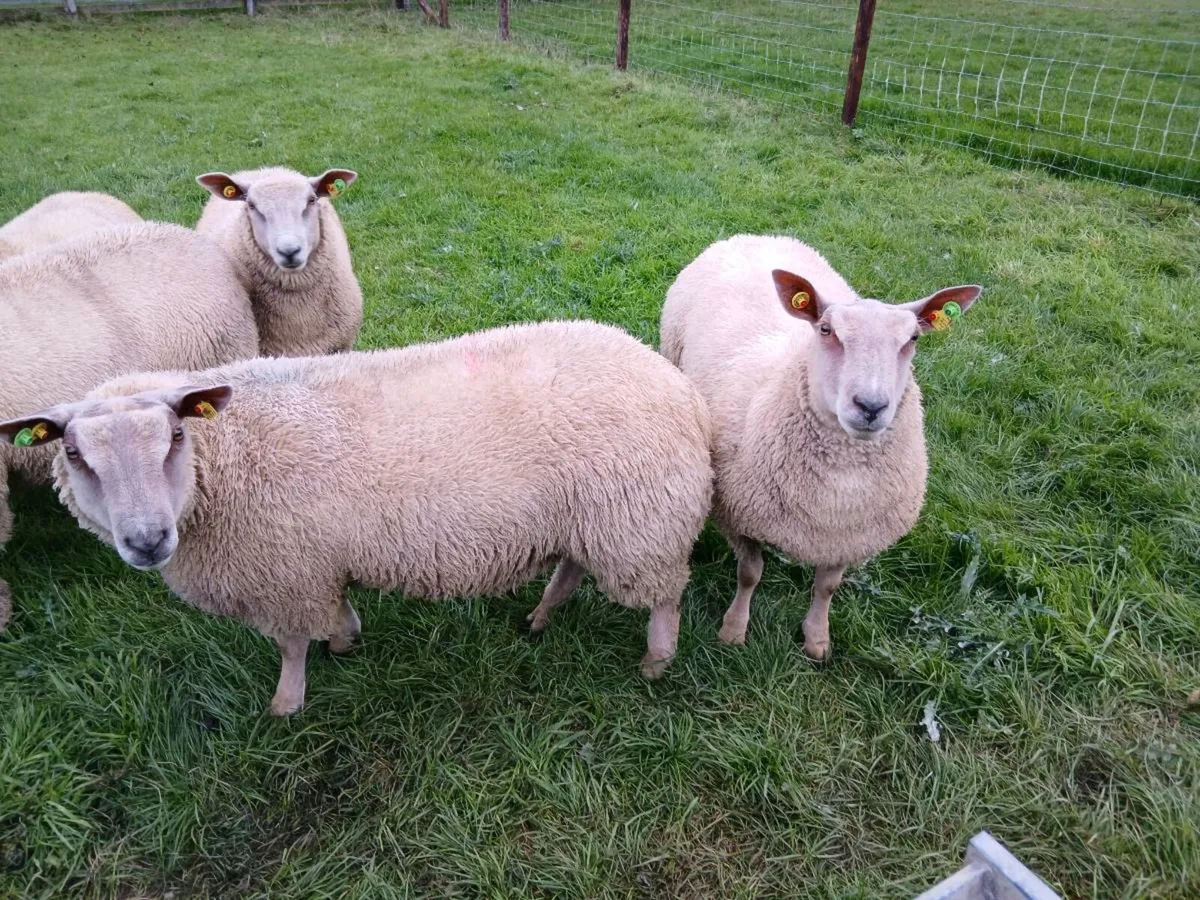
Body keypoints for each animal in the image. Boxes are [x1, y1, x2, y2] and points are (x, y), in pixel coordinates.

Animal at [0, 320, 714, 715]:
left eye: (176, 436)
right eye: (74, 454)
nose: (147, 541)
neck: (222, 467)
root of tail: (678, 383)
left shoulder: (285, 575)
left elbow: (292, 645)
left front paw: (287, 703)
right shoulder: (312, 565)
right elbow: (333, 613)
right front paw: (346, 637)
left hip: (638, 522)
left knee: (663, 596)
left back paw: (656, 661)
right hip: (592, 519)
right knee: (570, 568)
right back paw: (540, 617)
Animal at [660, 234, 981, 658]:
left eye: (913, 339)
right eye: (827, 330)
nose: (870, 406)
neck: (839, 483)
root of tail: (756, 236)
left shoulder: (846, 536)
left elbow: (826, 587)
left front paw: (817, 640)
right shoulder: (740, 515)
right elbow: (749, 575)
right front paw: (733, 630)